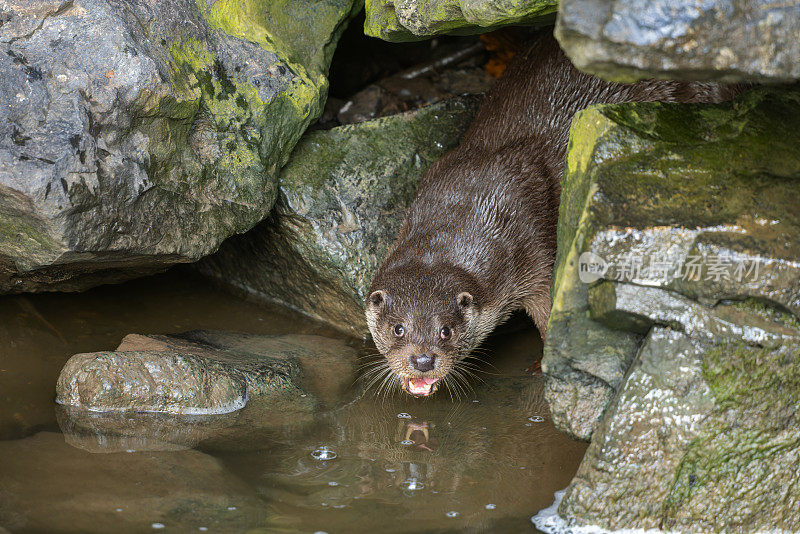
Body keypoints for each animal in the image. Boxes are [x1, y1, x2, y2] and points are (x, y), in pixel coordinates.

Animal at [366, 29, 748, 398]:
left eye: (446, 330)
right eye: (398, 328)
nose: (422, 360)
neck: (464, 210)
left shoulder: (533, 251)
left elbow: (550, 310)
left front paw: (544, 366)